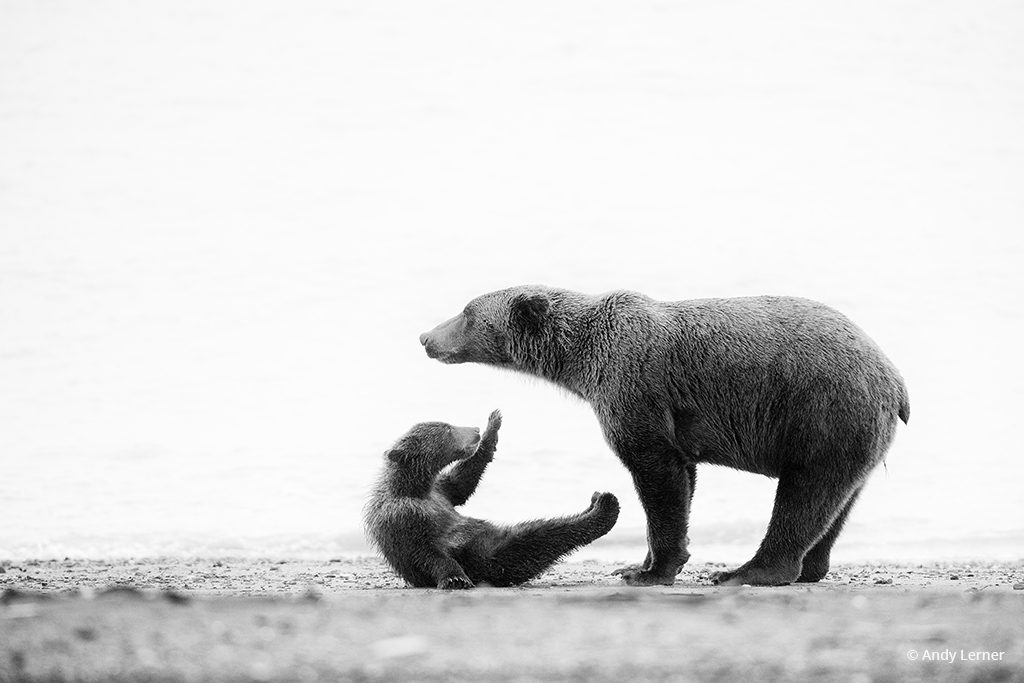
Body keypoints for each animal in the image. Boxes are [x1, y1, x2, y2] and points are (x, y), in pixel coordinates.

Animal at [419, 286, 909, 589]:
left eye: (467, 313)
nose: (425, 337)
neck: (579, 361)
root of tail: (895, 381)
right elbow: (682, 479)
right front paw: (638, 564)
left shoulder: (635, 389)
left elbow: (657, 476)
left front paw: (651, 570)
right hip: (855, 432)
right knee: (838, 502)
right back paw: (811, 567)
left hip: (819, 413)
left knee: (804, 494)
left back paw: (748, 571)